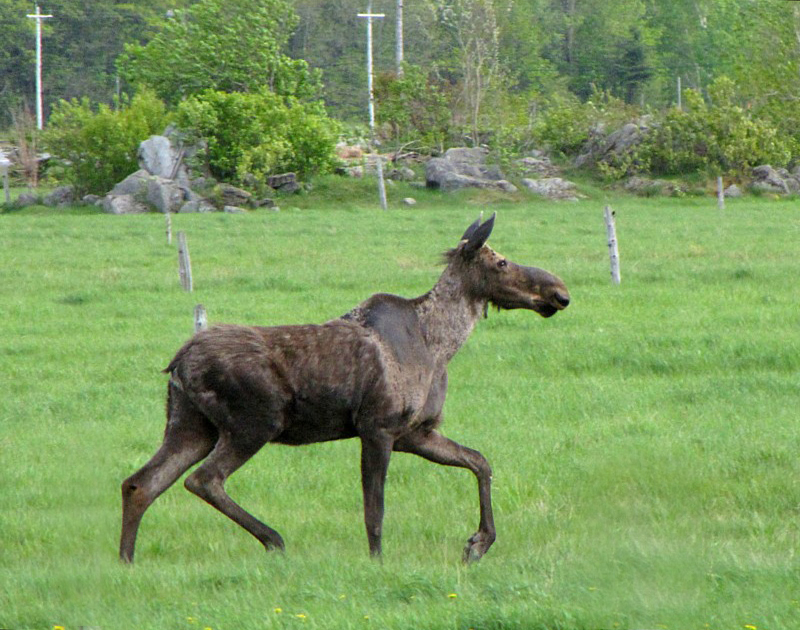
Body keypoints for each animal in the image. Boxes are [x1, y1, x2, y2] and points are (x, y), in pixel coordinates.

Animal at [119, 215, 568, 564]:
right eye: (502, 261)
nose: (559, 293)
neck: (441, 345)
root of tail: (177, 363)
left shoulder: (415, 433)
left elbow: (480, 462)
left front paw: (477, 543)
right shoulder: (378, 426)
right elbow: (375, 509)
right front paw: (379, 561)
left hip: (191, 425)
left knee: (141, 483)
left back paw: (127, 561)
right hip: (254, 422)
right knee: (203, 479)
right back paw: (274, 540)